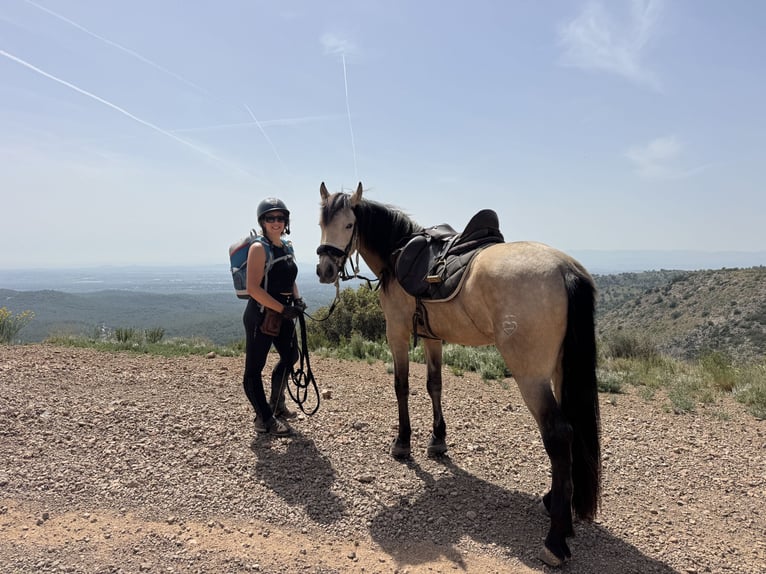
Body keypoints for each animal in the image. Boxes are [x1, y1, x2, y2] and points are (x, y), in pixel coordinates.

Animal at [315, 182, 601, 566]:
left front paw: (403, 443)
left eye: (349, 225)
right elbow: (434, 385)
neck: (396, 252)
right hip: (559, 370)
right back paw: (556, 506)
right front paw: (437, 440)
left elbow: (402, 386)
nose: (325, 269)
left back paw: (555, 539)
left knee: (558, 435)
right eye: (321, 222)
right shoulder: (433, 337)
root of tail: (565, 270)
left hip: (531, 376)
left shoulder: (396, 332)